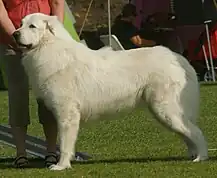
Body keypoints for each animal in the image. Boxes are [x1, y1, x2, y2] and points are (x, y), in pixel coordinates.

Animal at [13, 13, 209, 170]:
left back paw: (201, 158)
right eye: (21, 24)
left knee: (196, 133)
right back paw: (193, 155)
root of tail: (180, 59)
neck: (50, 47)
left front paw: (61, 166)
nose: (14, 34)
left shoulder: (67, 114)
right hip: (164, 113)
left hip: (166, 110)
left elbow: (64, 144)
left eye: (32, 26)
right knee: (188, 134)